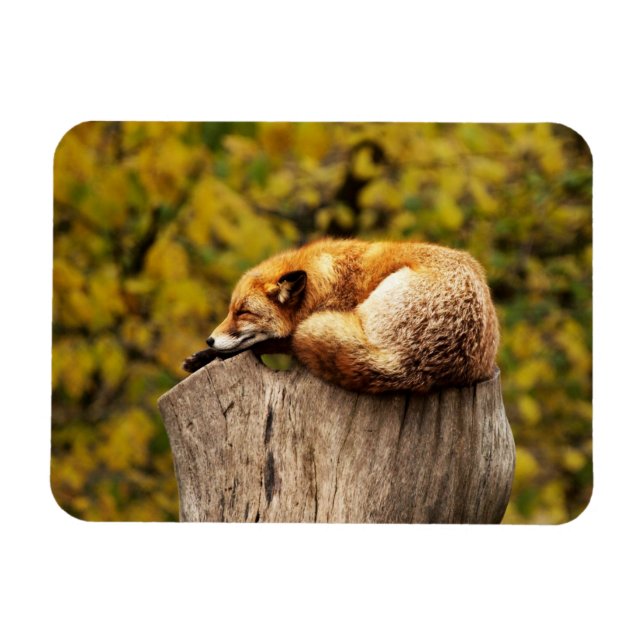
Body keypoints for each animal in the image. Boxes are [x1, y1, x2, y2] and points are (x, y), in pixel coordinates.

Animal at [183, 238, 500, 393]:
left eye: (243, 312)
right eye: (230, 310)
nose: (209, 340)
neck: (326, 282)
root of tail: (409, 366)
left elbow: (268, 343)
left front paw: (206, 356)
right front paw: (202, 355)